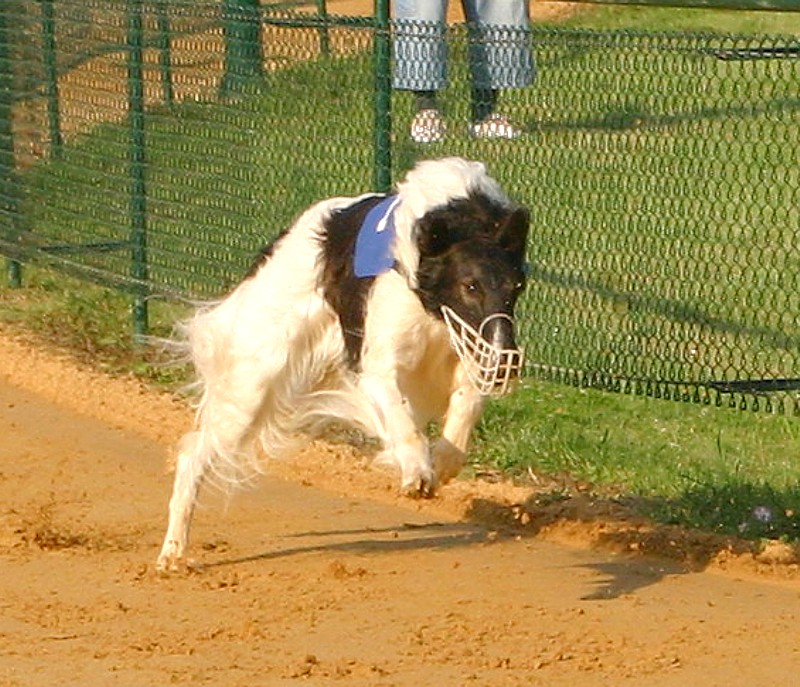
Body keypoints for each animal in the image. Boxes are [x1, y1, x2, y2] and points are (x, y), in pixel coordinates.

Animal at [157, 157, 529, 571]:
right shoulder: (381, 363)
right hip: (254, 381)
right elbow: (401, 414)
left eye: (516, 287)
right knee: (194, 454)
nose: (507, 363)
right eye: (470, 286)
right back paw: (172, 550)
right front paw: (417, 469)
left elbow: (467, 403)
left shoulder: (466, 347)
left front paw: (442, 462)